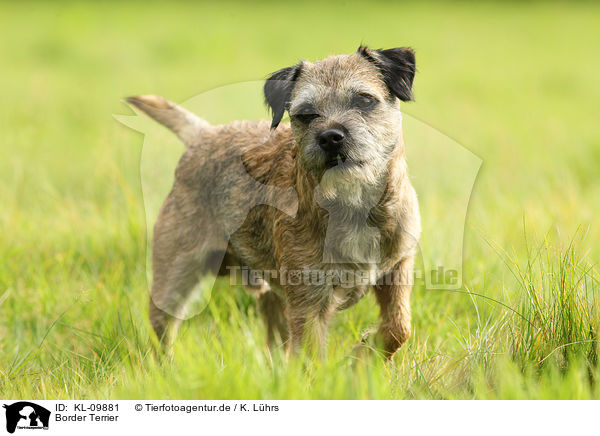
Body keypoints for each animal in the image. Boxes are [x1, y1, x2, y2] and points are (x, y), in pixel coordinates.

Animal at [126, 46, 420, 358]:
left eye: (364, 100)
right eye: (305, 114)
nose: (330, 137)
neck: (354, 205)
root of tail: (204, 134)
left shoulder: (398, 269)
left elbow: (399, 326)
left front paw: (363, 354)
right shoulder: (308, 303)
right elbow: (311, 358)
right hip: (175, 272)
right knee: (162, 327)